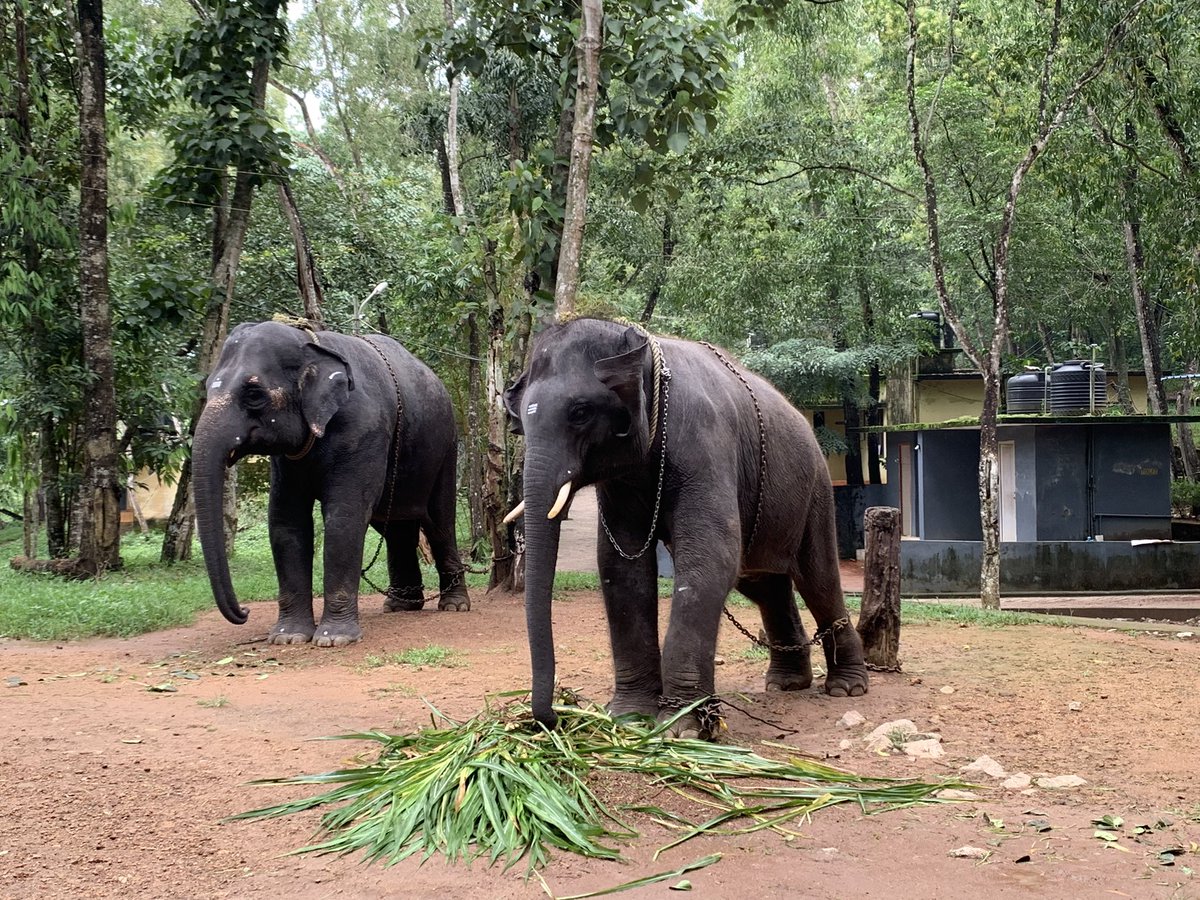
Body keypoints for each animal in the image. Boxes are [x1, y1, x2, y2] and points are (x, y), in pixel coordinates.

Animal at [193, 320, 470, 647]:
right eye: (208, 387)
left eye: (254, 395)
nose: (244, 612)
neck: (310, 343)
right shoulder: (287, 459)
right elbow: (286, 522)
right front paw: (288, 638)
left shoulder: (362, 431)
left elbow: (344, 516)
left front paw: (333, 639)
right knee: (396, 528)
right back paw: (400, 606)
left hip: (446, 448)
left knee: (440, 522)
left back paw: (454, 605)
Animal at [504, 317, 867, 738]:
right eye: (521, 423)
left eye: (580, 411)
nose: (552, 719)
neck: (644, 351)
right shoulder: (622, 484)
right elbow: (620, 568)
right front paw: (629, 719)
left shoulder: (704, 444)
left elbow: (710, 559)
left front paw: (682, 728)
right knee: (764, 585)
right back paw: (786, 683)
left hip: (815, 493)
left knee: (818, 580)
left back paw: (846, 687)